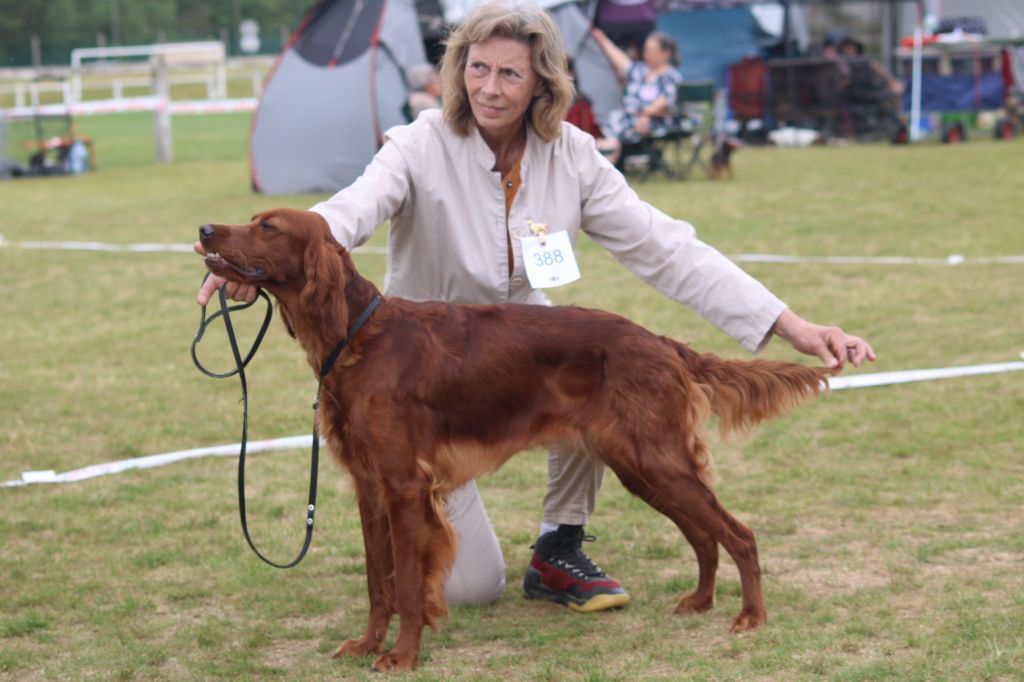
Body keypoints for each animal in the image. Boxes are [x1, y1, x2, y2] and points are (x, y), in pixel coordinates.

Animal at [197, 206, 823, 667]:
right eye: (251, 220)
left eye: (268, 227)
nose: (204, 230)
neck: (356, 338)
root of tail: (662, 342)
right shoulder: (370, 489)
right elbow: (379, 582)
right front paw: (368, 644)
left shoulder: (403, 487)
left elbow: (407, 586)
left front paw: (402, 656)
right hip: (642, 467)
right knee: (703, 535)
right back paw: (700, 601)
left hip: (658, 459)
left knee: (738, 534)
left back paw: (750, 615)